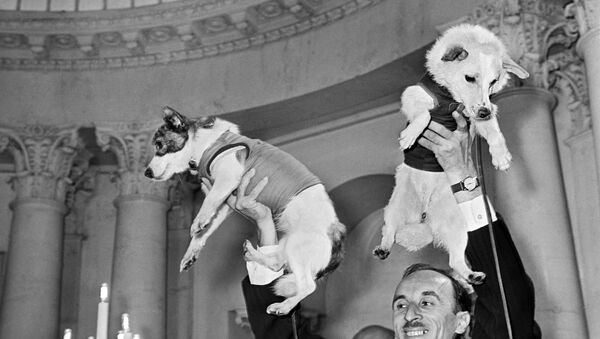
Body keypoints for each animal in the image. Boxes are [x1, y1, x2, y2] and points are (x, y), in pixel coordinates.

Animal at [144, 107, 346, 318]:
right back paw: (254, 255)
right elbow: (203, 232)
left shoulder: (227, 179)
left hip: (297, 247)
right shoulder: (225, 203)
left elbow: (207, 205)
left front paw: (198, 221)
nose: (146, 173)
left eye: (159, 145)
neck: (204, 144)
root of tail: (336, 232)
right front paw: (190, 253)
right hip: (288, 243)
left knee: (307, 286)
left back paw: (283, 306)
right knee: (277, 264)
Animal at [372, 23, 528, 284]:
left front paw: (501, 156)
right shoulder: (414, 95)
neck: (453, 100)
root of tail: (425, 216)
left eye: (493, 82)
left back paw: (472, 275)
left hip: (457, 228)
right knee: (389, 230)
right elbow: (424, 114)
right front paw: (411, 134)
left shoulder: (480, 116)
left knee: (454, 260)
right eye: (470, 78)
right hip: (395, 208)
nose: (485, 112)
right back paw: (383, 247)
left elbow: (495, 133)